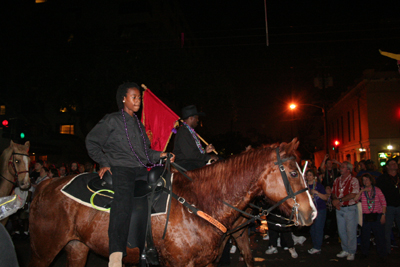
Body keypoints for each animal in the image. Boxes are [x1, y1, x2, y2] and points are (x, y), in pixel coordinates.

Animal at [28, 139, 316, 266]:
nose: (311, 213)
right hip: (44, 251)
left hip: (77, 247)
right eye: (293, 173)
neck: (199, 202)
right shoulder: (179, 263)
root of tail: (44, 185)